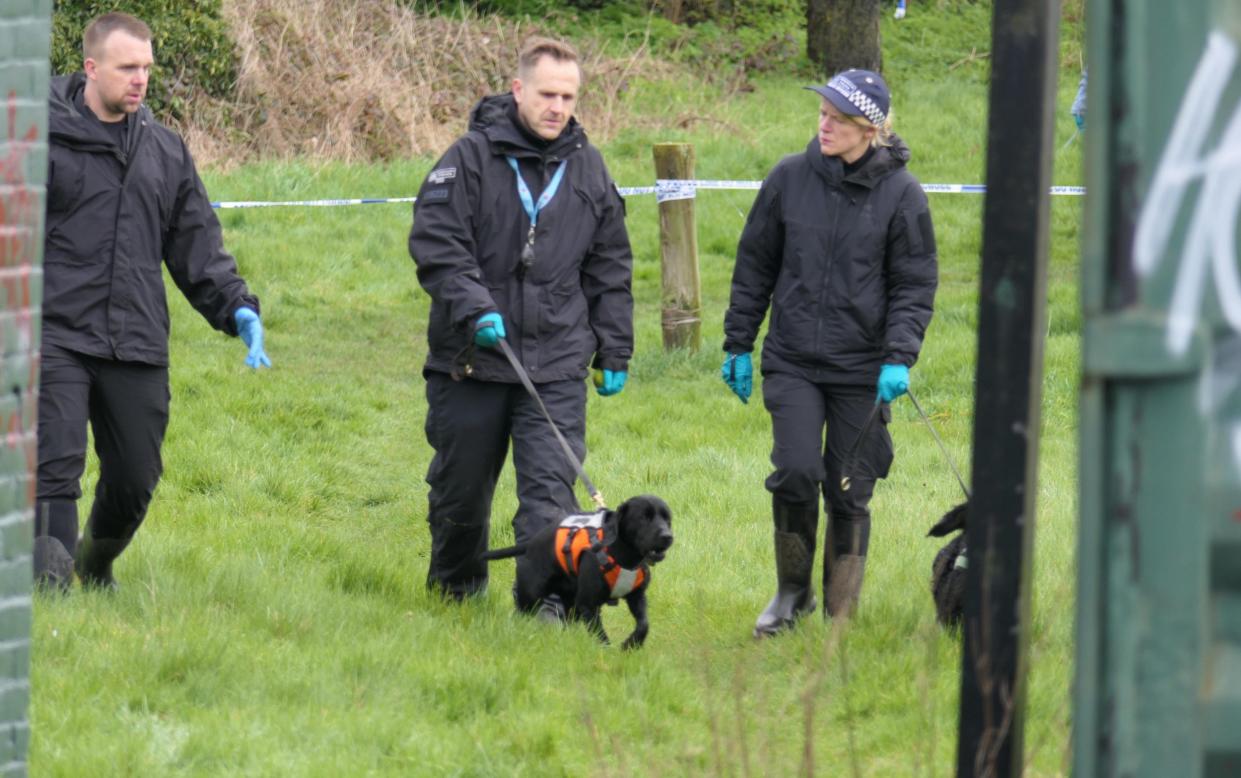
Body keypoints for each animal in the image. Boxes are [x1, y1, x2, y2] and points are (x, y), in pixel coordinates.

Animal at [479, 496, 675, 650]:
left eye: (667, 519)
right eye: (644, 517)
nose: (668, 536)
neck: (624, 559)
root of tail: (530, 544)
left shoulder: (637, 597)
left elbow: (644, 624)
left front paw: (631, 644)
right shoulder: (588, 605)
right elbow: (601, 637)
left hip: (570, 603)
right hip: (530, 596)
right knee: (519, 614)